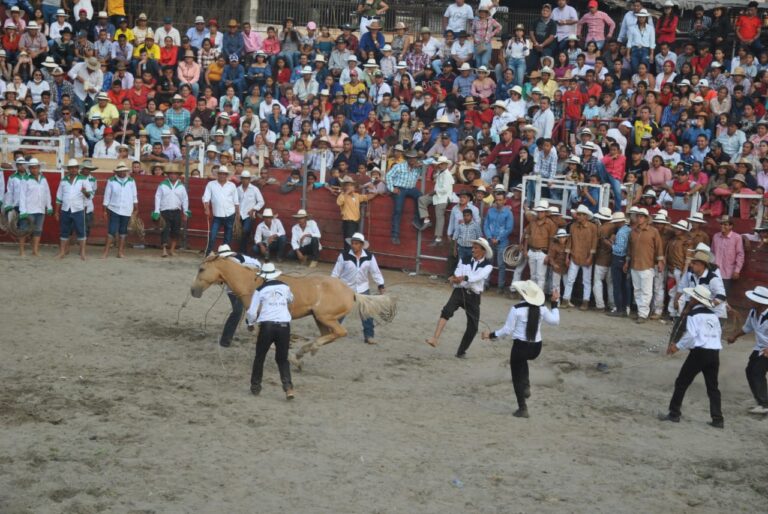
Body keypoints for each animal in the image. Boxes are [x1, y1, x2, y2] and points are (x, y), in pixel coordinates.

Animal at [190, 255, 400, 364]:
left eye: (201, 269)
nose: (193, 290)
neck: (251, 282)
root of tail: (351, 292)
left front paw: (287, 356)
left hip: (326, 317)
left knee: (340, 332)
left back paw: (305, 351)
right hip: (320, 319)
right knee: (328, 335)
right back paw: (304, 351)